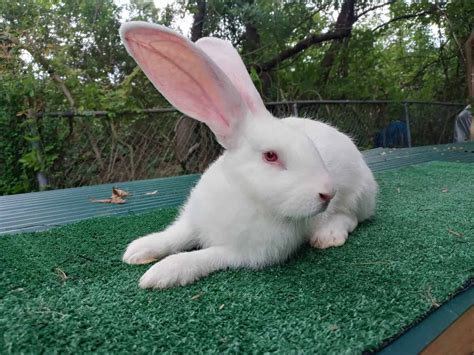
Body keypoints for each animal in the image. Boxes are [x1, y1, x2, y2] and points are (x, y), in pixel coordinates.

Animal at [119, 21, 378, 290]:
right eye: (271, 156)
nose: (327, 193)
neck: (245, 194)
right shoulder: (192, 222)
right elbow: (175, 236)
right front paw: (138, 250)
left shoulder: (242, 253)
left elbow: (204, 255)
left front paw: (163, 272)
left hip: (355, 196)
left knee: (351, 218)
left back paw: (328, 235)